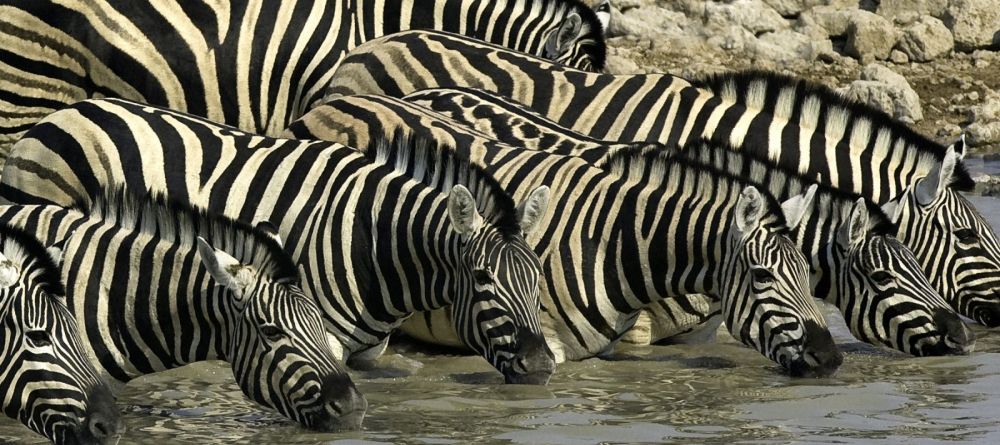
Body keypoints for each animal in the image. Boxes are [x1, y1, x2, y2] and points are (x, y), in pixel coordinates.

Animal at [0, 98, 555, 385]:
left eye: (537, 279)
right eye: (483, 278)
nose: (541, 367)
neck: (371, 240)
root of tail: (62, 113)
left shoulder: (367, 352)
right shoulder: (314, 333)